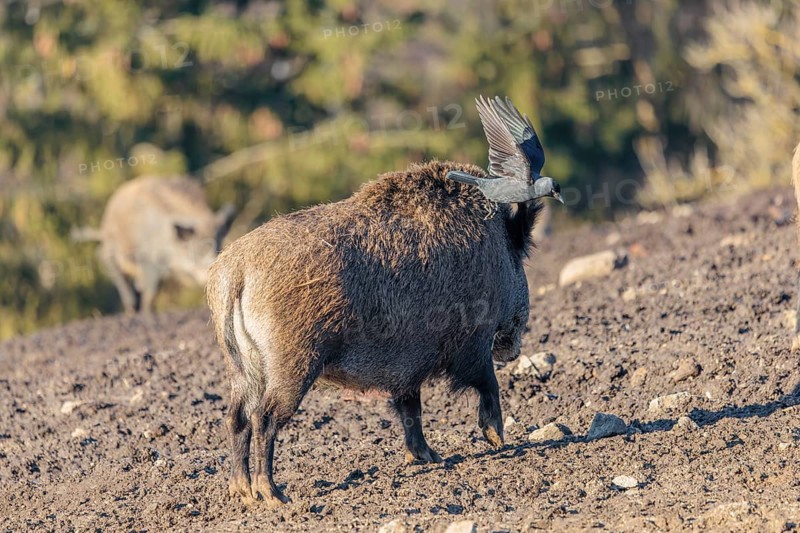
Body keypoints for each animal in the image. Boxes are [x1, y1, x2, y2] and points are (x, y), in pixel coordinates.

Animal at [98, 175, 234, 313]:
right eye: (198, 248)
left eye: (219, 243)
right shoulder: (148, 261)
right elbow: (151, 292)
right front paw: (148, 312)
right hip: (111, 252)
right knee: (122, 280)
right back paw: (132, 311)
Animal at [206, 160, 542, 506]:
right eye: (520, 264)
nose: (514, 352)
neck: (496, 253)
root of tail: (236, 270)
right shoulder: (470, 345)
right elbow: (488, 383)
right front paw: (498, 441)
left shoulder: (407, 369)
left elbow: (411, 408)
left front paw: (429, 458)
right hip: (292, 364)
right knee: (264, 417)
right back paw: (273, 495)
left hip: (242, 367)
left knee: (236, 418)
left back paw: (242, 491)